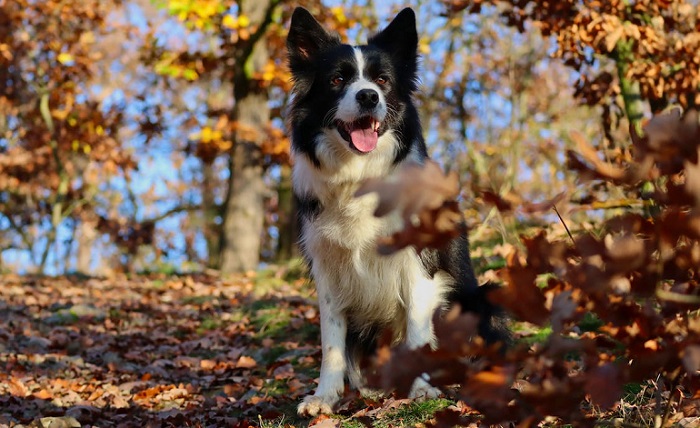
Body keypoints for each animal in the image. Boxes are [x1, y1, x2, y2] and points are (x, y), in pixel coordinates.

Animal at [288, 5, 506, 414]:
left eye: (382, 80)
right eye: (338, 79)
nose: (368, 97)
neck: (359, 175)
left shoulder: (419, 262)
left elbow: (419, 329)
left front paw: (421, 389)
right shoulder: (327, 268)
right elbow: (331, 341)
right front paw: (324, 395)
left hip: (481, 299)